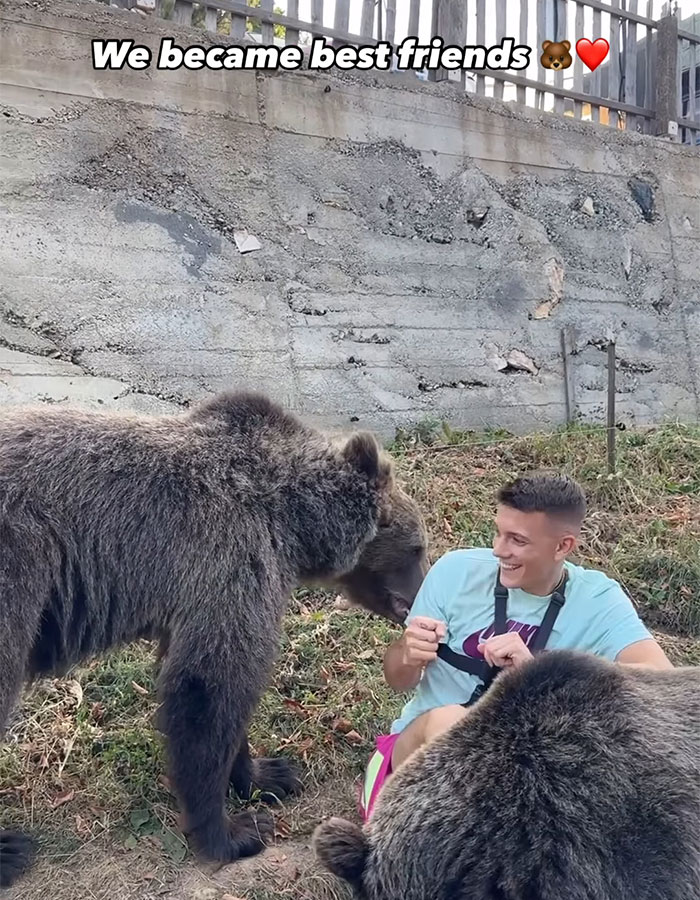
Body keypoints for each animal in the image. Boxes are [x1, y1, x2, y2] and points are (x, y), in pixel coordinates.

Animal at [0, 390, 429, 889]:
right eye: (417, 547)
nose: (423, 593)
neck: (291, 518)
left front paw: (269, 774)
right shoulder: (230, 556)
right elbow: (210, 689)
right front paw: (232, 831)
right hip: (18, 572)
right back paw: (9, 850)